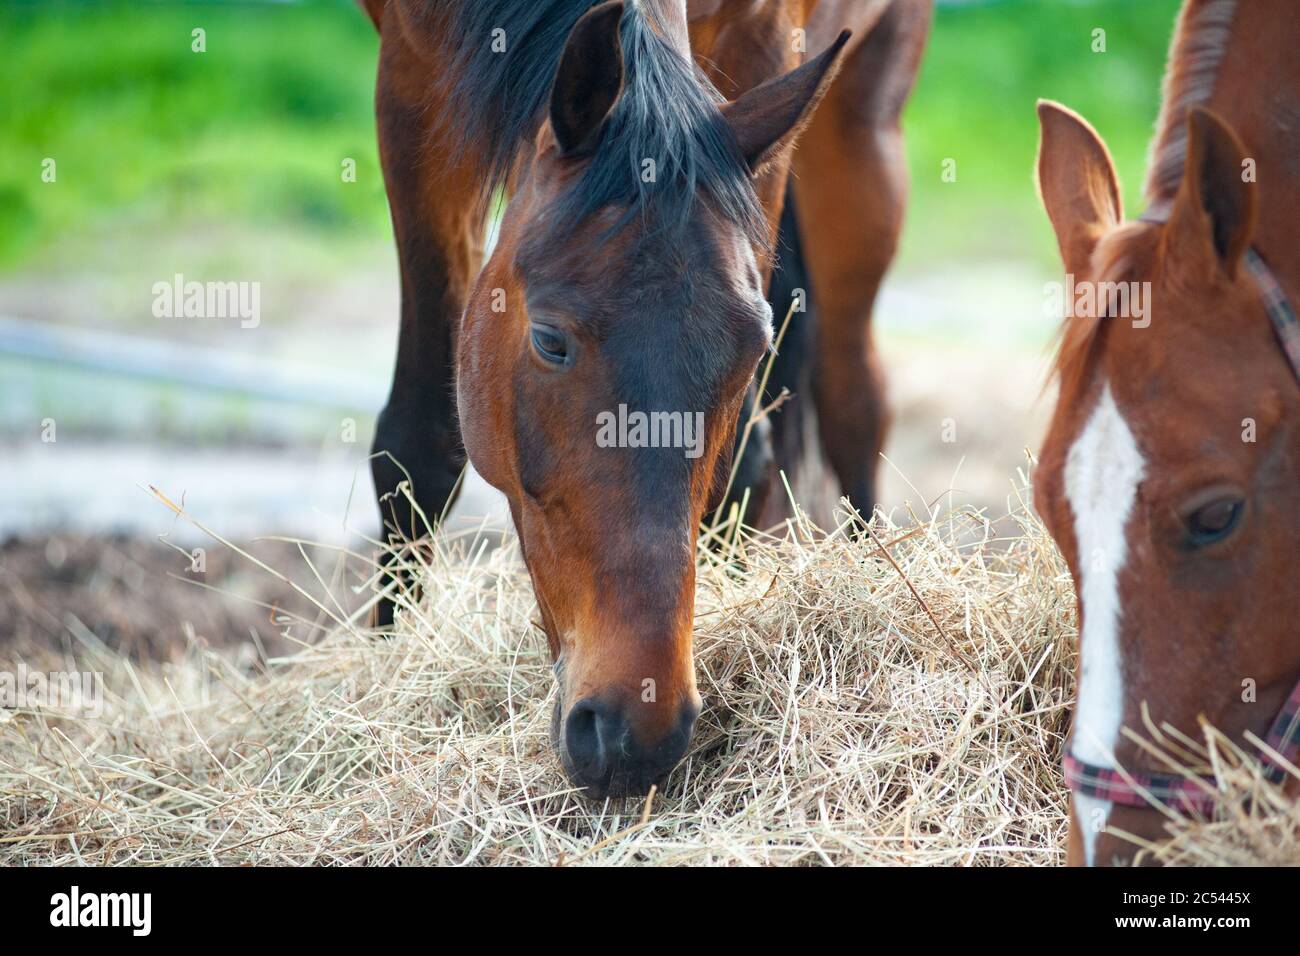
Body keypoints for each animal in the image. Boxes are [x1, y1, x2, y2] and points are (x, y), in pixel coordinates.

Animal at [359, 0, 931, 796]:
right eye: (549, 340)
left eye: (750, 348)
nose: (636, 732)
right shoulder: (414, 75)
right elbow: (416, 449)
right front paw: (386, 666)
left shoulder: (765, 47)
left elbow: (740, 468)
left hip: (865, 122)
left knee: (854, 397)